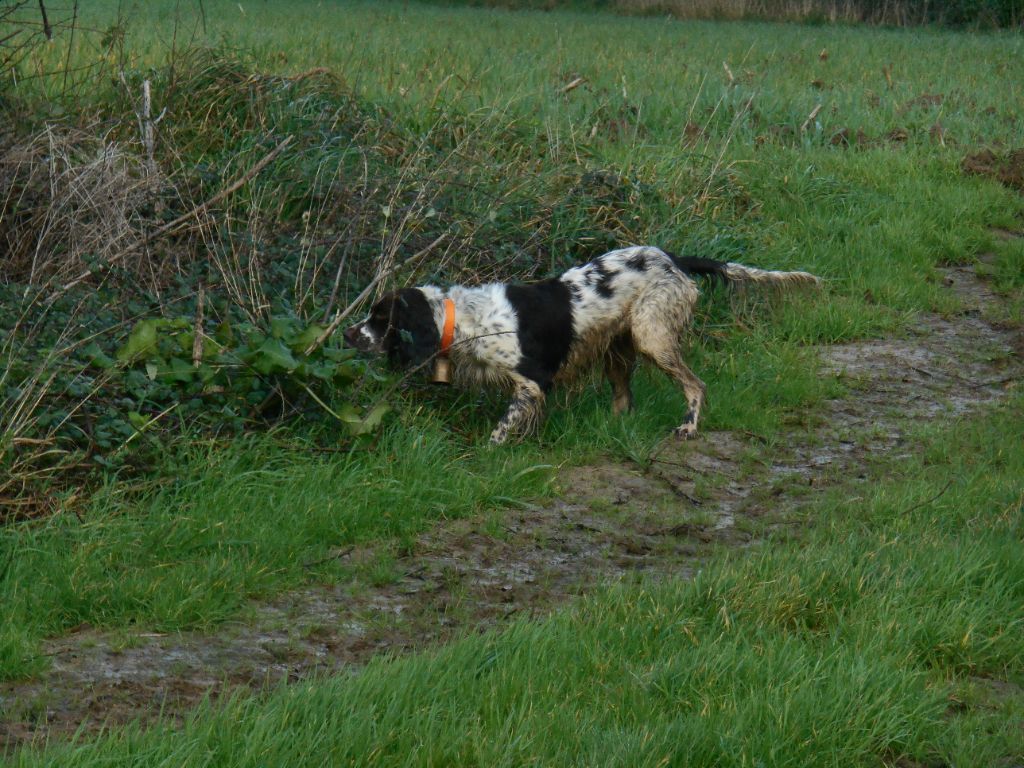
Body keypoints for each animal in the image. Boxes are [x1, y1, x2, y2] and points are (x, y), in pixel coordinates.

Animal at [342, 247, 815, 444]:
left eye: (380, 320)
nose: (347, 333)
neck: (466, 321)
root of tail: (673, 259)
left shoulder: (532, 382)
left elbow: (503, 426)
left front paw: (492, 449)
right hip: (618, 351)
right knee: (624, 400)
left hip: (652, 336)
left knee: (695, 384)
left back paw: (689, 426)